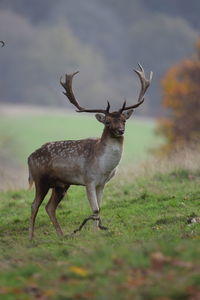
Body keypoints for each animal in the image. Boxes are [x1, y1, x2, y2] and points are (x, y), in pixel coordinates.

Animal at [28, 64, 152, 238]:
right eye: (107, 122)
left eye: (124, 120)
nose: (120, 130)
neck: (103, 168)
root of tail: (29, 158)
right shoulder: (89, 180)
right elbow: (95, 209)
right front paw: (95, 232)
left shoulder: (102, 184)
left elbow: (100, 208)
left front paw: (98, 231)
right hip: (40, 179)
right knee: (34, 205)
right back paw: (32, 237)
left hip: (61, 184)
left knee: (49, 207)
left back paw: (61, 235)